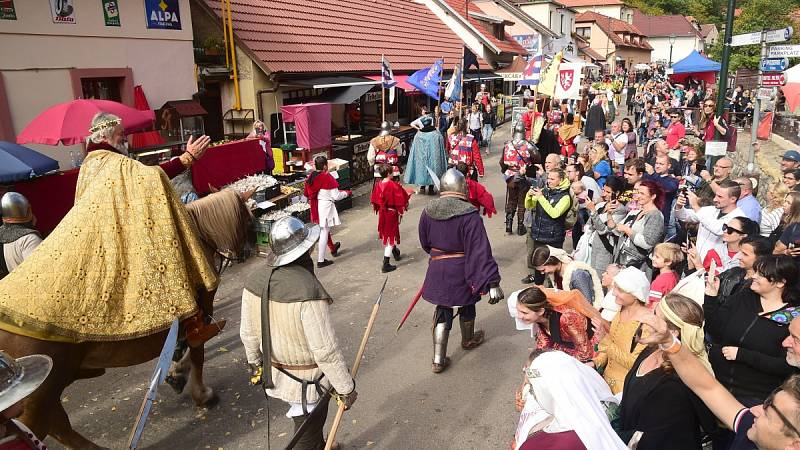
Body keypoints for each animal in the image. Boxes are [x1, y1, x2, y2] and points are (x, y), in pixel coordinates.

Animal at [0, 190, 253, 450]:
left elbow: (182, 350)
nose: (244, 252)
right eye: (249, 220)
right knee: (47, 427)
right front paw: (202, 394)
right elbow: (197, 354)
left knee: (58, 425)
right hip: (38, 395)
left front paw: (178, 375)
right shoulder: (201, 313)